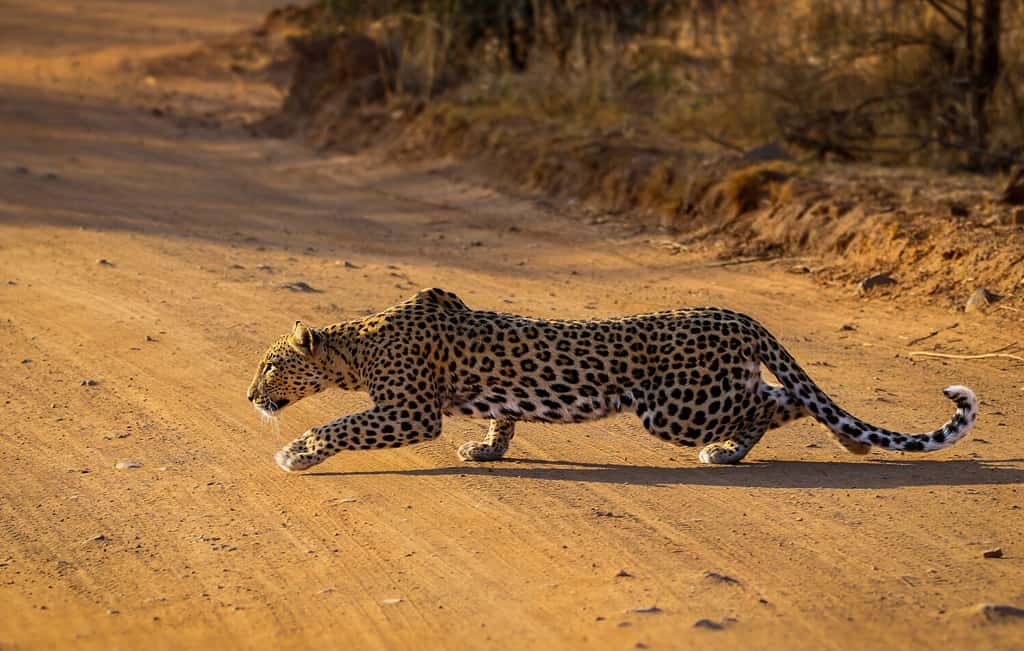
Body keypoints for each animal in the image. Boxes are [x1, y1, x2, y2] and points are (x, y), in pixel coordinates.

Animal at [247, 288, 977, 472]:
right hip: (698, 396)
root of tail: (737, 313)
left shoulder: (408, 411)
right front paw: (487, 447)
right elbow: (503, 416)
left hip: (677, 407)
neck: (356, 345)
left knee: (775, 401)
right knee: (780, 396)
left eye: (268, 365)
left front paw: (295, 453)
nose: (250, 395)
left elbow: (340, 423)